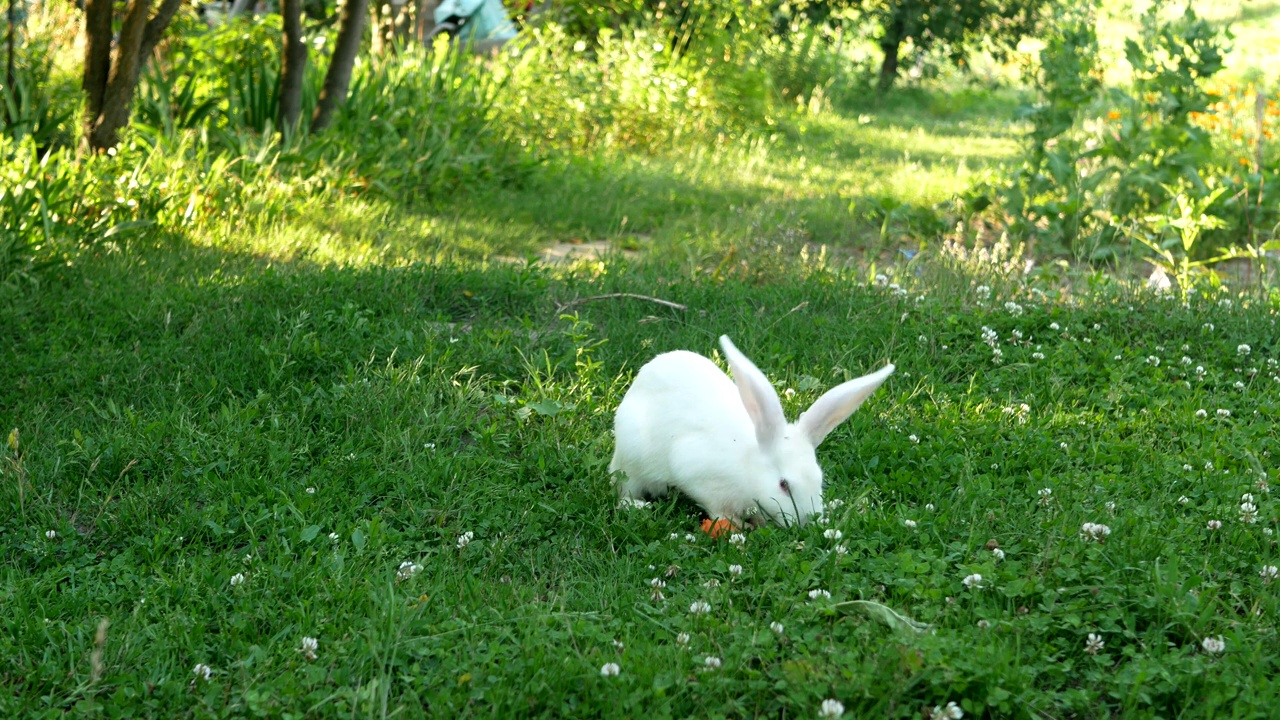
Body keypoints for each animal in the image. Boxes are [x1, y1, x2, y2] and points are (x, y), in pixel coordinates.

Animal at [606, 333, 890, 525]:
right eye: (783, 485)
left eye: (819, 479)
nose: (807, 522)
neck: (746, 467)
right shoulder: (700, 476)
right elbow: (717, 510)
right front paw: (739, 525)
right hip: (631, 461)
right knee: (623, 489)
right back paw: (636, 506)